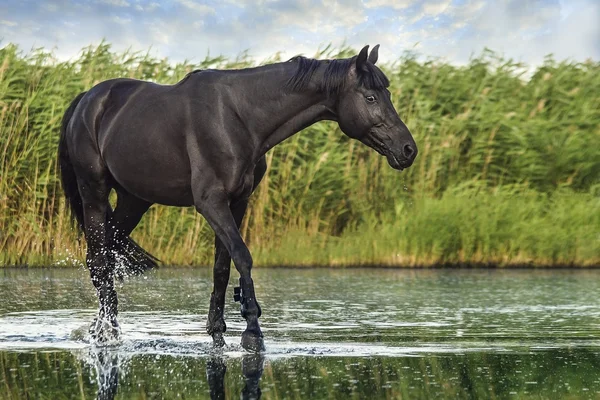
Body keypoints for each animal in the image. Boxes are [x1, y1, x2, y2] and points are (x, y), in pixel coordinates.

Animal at [59, 44, 418, 350]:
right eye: (370, 97)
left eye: (386, 93)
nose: (408, 149)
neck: (239, 118)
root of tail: (87, 99)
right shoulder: (211, 202)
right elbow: (243, 257)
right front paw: (252, 330)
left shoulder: (237, 202)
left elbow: (222, 266)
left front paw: (217, 329)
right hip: (94, 192)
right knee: (98, 259)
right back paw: (107, 333)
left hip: (134, 200)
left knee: (106, 255)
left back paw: (103, 327)